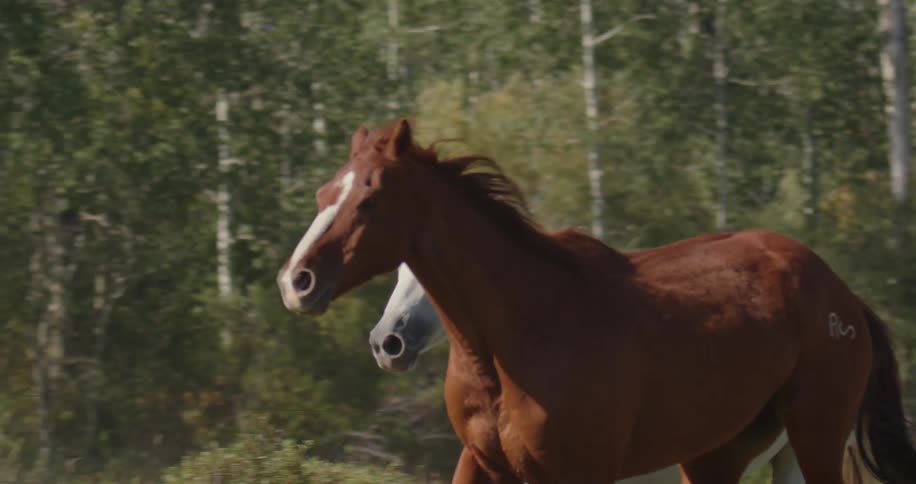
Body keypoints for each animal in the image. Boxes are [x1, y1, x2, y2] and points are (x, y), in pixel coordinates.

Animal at [277, 119, 916, 483]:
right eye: (324, 193)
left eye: (369, 201)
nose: (296, 281)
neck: (515, 339)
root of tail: (845, 299)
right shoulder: (482, 463)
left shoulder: (580, 471)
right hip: (718, 455)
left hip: (814, 438)